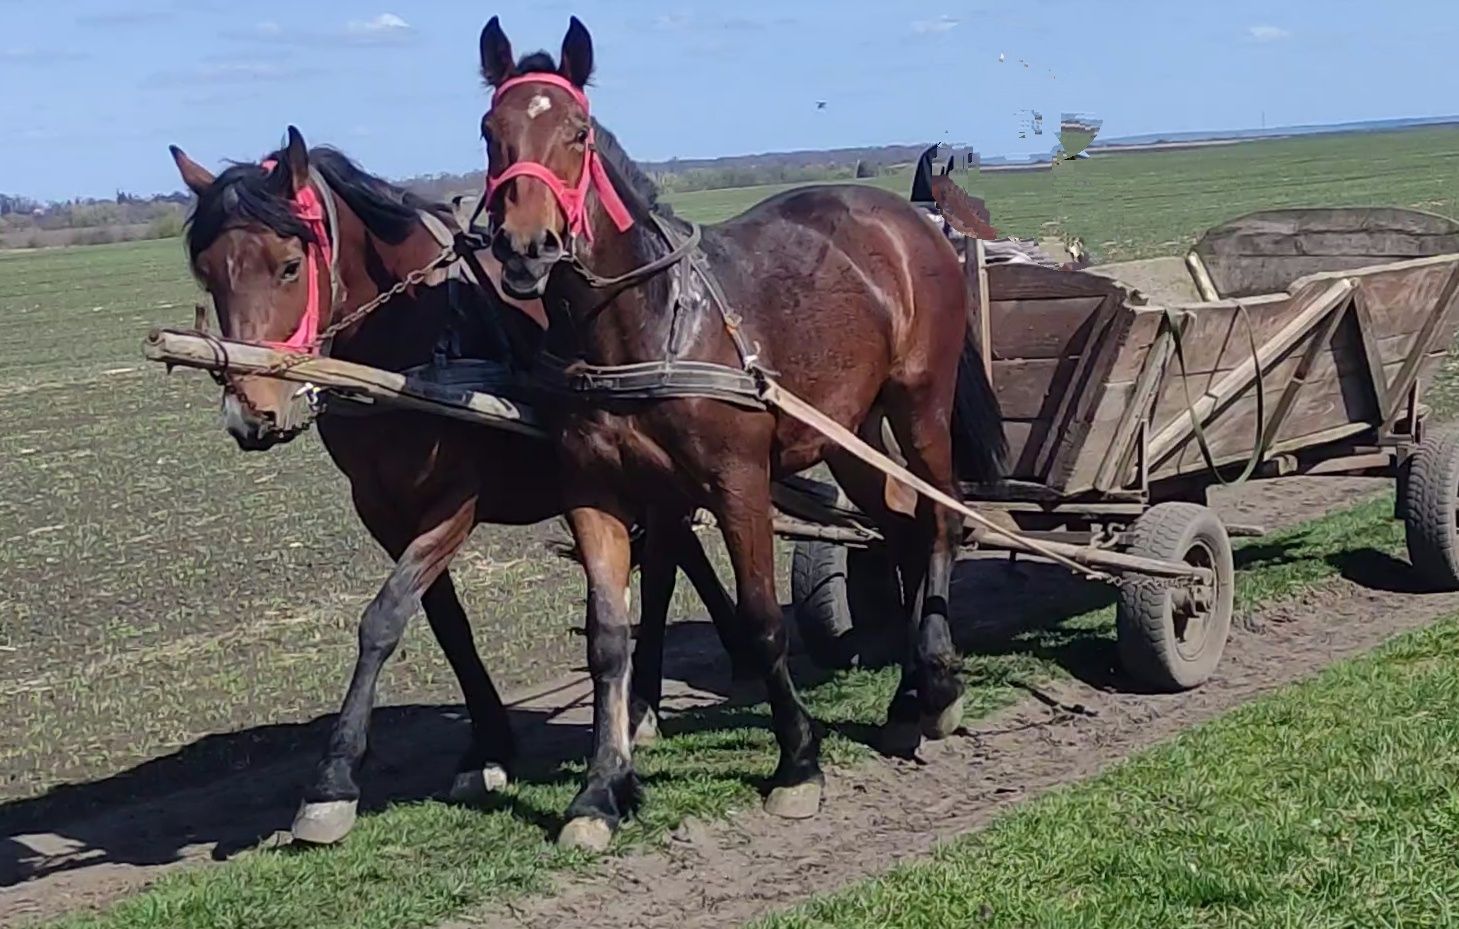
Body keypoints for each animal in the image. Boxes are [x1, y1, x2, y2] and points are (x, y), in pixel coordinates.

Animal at [165, 126, 747, 845]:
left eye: (289, 265)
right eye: (207, 271)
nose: (251, 414)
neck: (409, 347)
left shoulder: (455, 502)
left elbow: (383, 617)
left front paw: (333, 782)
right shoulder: (382, 509)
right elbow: (446, 624)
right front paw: (488, 746)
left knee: (664, 567)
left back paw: (648, 701)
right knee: (677, 555)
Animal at [472, 19, 1009, 845]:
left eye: (577, 131)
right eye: (490, 129)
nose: (525, 247)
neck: (648, 323)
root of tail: (912, 220)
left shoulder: (737, 482)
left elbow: (759, 619)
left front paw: (797, 761)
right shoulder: (594, 491)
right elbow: (607, 638)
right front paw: (598, 790)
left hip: (918, 403)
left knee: (941, 517)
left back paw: (936, 684)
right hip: (848, 432)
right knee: (902, 529)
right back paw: (911, 694)